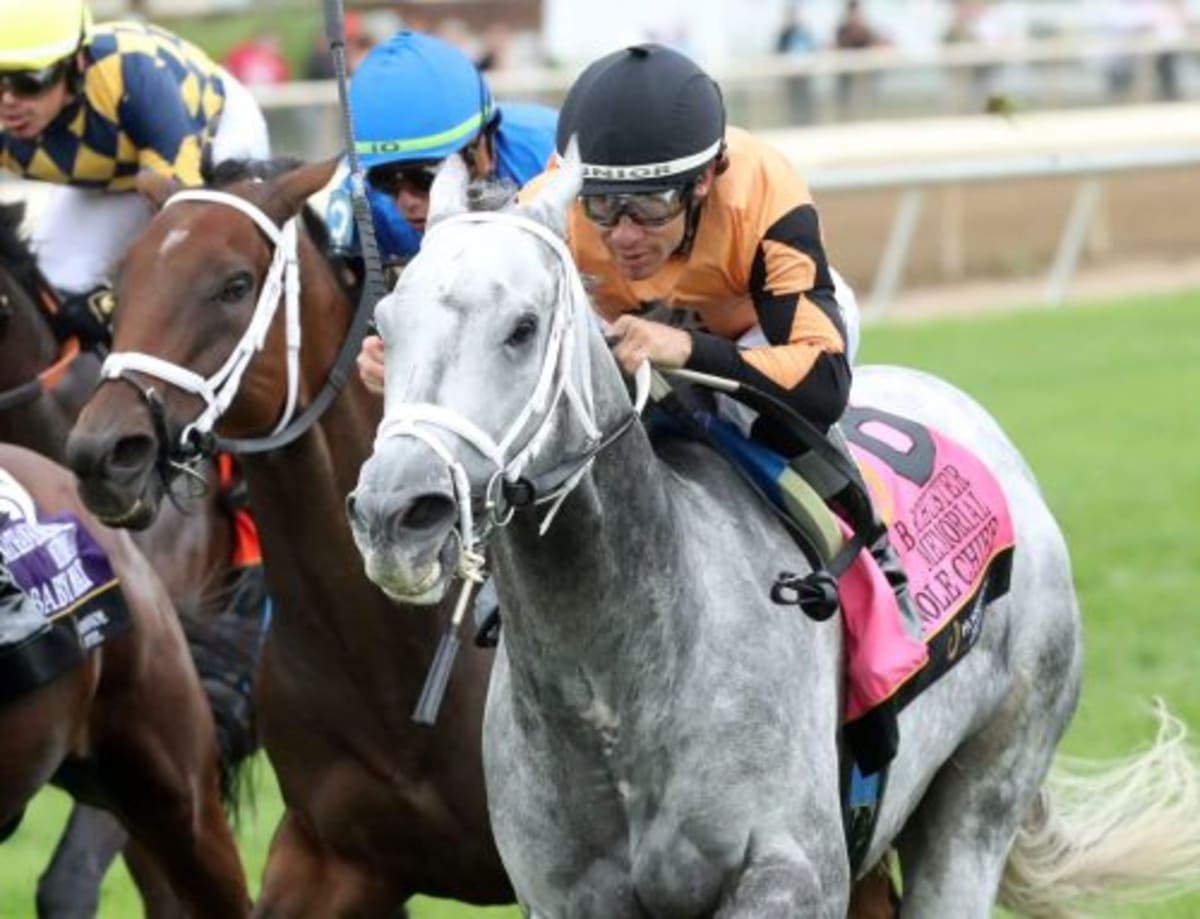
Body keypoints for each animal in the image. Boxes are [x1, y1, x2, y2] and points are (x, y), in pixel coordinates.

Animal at [344, 152, 1200, 917]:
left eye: (522, 328)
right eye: (384, 324)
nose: (396, 513)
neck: (624, 683)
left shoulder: (791, 873)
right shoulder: (562, 896)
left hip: (989, 783)